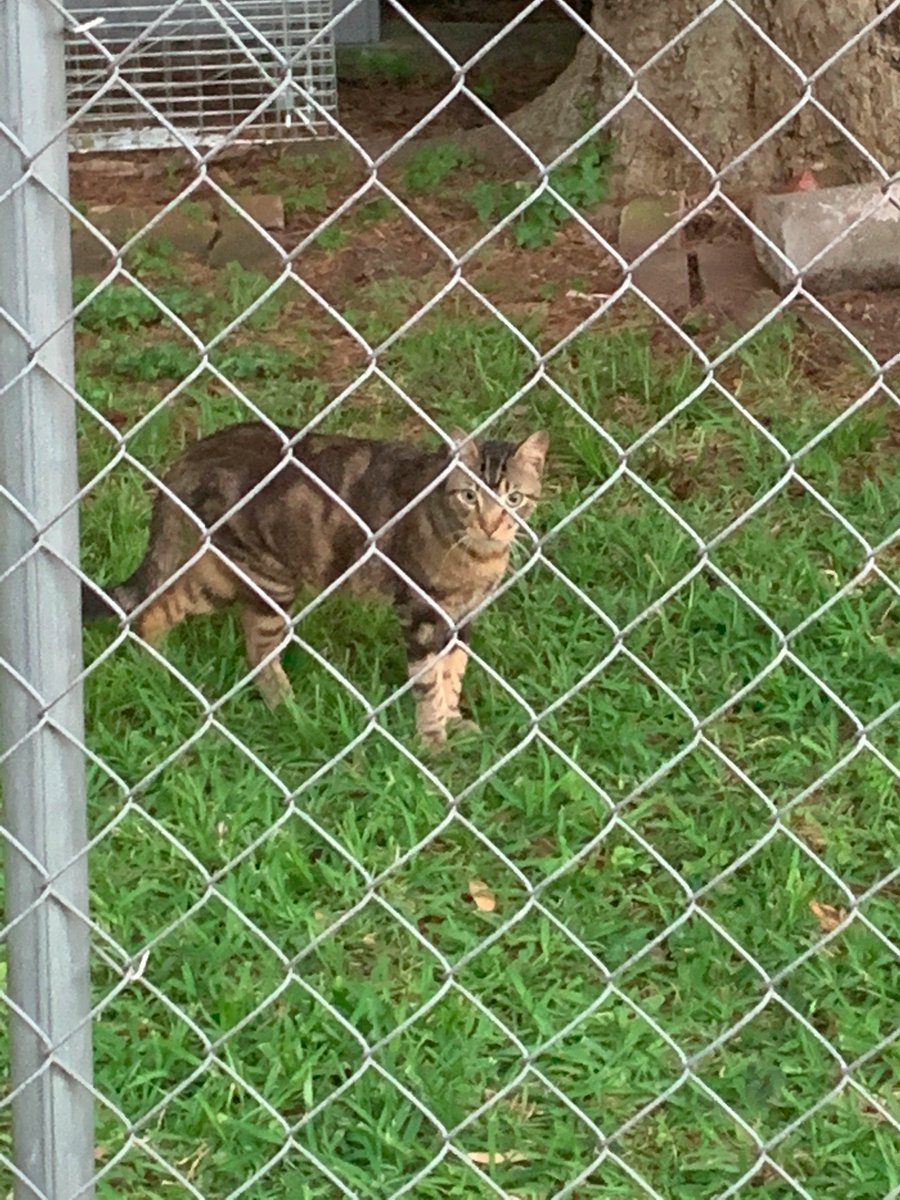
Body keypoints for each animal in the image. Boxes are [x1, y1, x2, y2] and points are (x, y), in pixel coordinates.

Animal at [84, 420, 549, 739]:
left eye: (514, 498)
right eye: (470, 496)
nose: (492, 524)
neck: (478, 557)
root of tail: (196, 451)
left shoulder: (462, 615)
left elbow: (453, 673)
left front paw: (454, 723)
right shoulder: (420, 611)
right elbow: (428, 681)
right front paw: (433, 739)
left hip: (223, 572)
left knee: (155, 610)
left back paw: (161, 672)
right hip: (258, 576)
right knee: (250, 647)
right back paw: (286, 708)